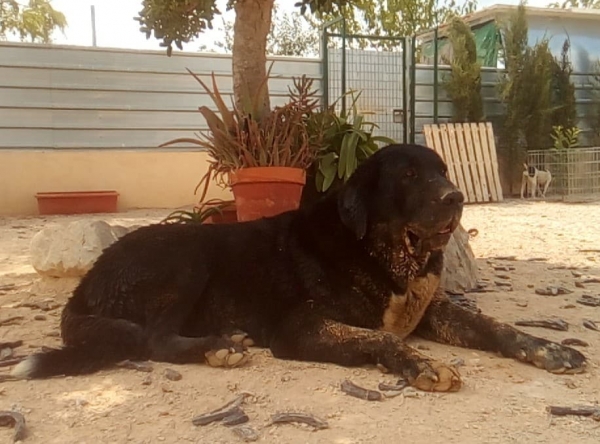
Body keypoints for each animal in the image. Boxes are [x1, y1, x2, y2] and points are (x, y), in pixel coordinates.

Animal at [12, 144, 584, 390]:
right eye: (407, 175)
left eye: (442, 171)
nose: (456, 197)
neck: (382, 255)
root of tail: (83, 288)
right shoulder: (299, 327)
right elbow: (380, 337)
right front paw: (417, 364)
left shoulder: (437, 310)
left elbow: (495, 326)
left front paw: (549, 348)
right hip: (188, 254)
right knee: (152, 339)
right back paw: (217, 347)